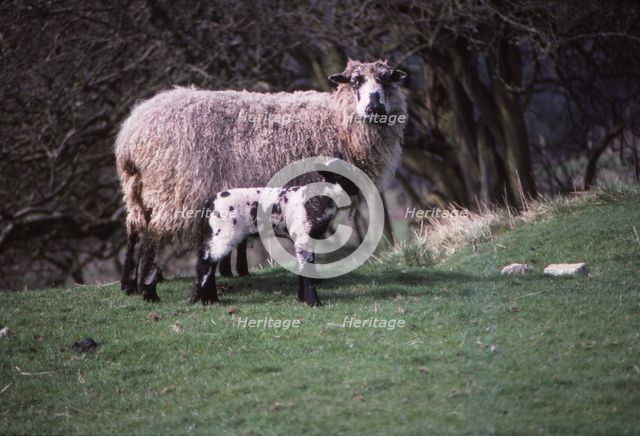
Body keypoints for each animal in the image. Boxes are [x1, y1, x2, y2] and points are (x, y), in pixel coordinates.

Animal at [189, 158, 359, 307]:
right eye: (339, 176)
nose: (356, 188)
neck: (318, 199)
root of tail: (209, 202)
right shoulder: (302, 237)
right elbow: (306, 269)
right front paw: (314, 302)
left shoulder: (308, 238)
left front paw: (302, 299)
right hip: (223, 234)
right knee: (205, 263)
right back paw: (207, 300)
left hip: (214, 235)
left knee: (206, 263)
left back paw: (211, 299)